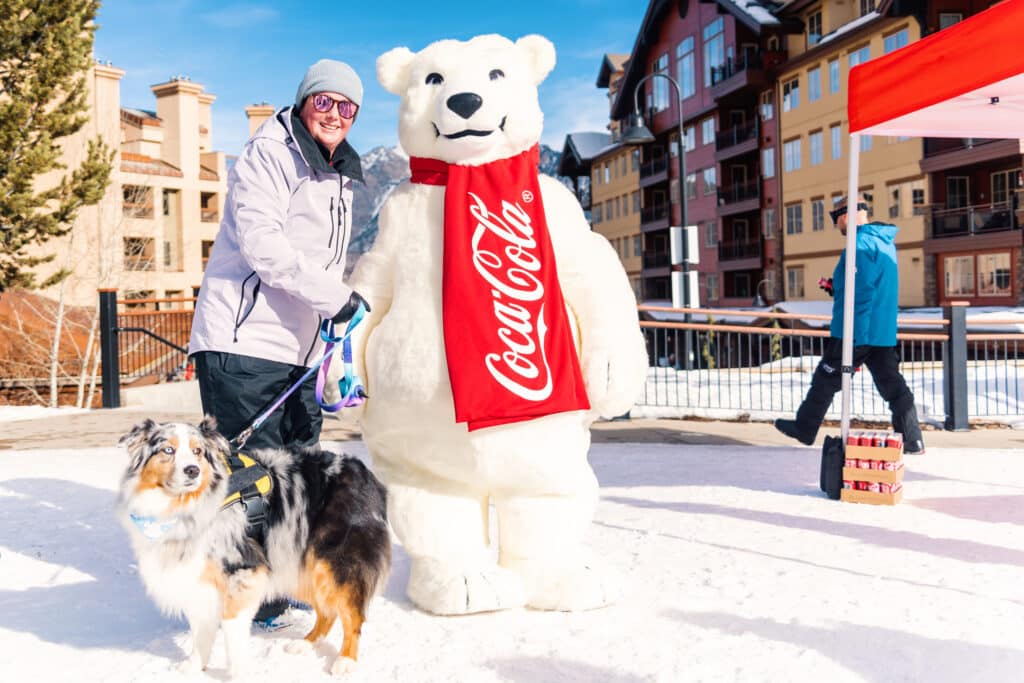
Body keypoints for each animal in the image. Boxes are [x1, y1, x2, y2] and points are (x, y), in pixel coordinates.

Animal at [116, 417, 391, 679]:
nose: (192, 470)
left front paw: (238, 673)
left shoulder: (242, 573)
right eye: (168, 449)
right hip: (297, 561)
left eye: (197, 451)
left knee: (352, 614)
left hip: (332, 563)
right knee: (327, 611)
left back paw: (346, 661)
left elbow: (232, 631)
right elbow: (201, 631)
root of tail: (363, 472)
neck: (184, 506)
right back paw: (306, 644)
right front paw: (194, 667)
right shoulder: (198, 577)